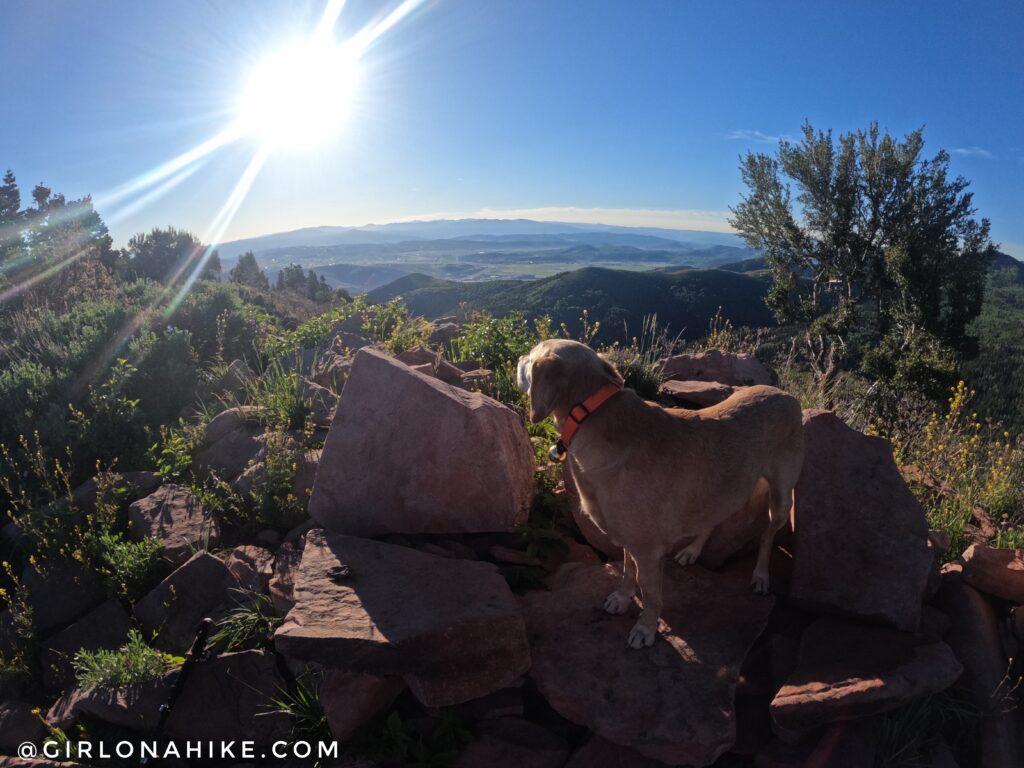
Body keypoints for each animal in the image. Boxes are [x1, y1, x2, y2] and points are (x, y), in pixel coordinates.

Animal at [516, 342, 802, 651]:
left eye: (531, 357)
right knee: (712, 520)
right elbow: (627, 571)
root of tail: (788, 395)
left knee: (768, 534)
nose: (519, 358)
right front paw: (622, 598)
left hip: (782, 497)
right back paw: (692, 551)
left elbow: (651, 594)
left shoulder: (648, 551)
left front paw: (646, 628)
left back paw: (760, 575)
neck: (593, 413)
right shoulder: (630, 539)